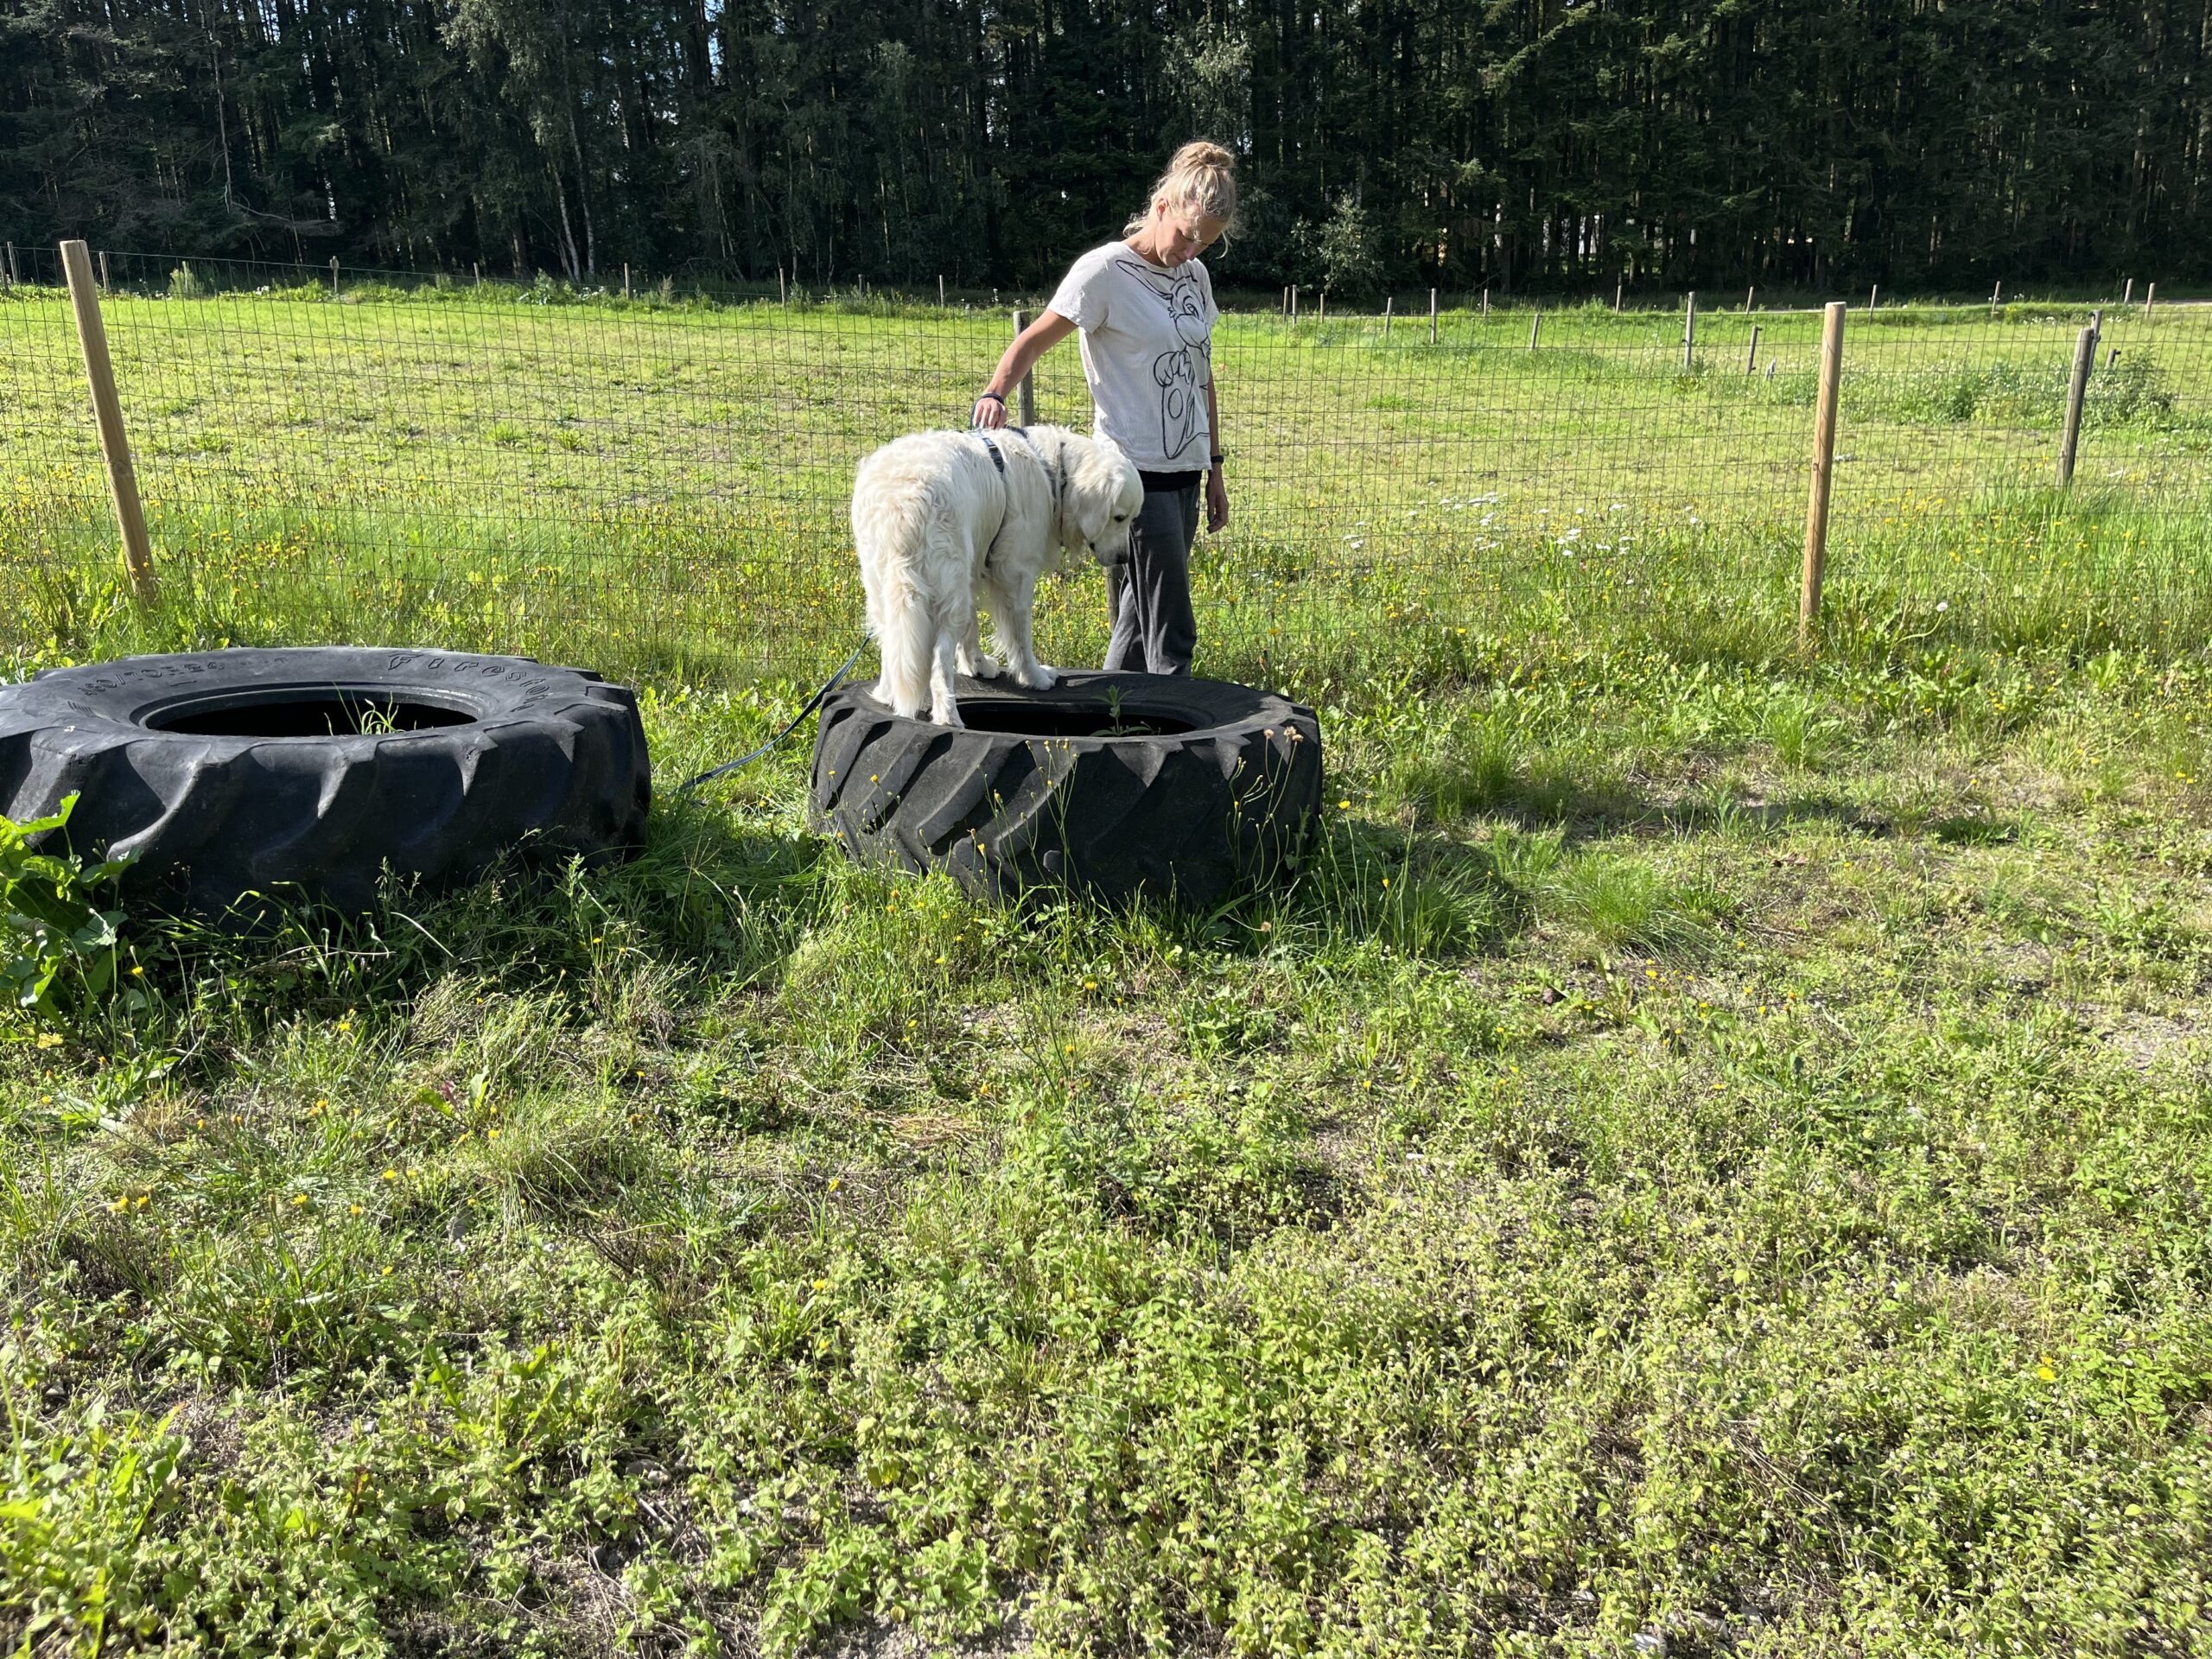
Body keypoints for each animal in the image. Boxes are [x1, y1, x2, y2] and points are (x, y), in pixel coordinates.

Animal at [849, 424, 1141, 725]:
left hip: (886, 585)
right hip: (948, 589)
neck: (1053, 473)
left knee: (892, 643)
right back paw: (948, 717)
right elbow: (1020, 636)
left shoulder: (974, 569)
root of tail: (902, 502)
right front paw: (1035, 677)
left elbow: (972, 629)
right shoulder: (1015, 573)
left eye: (1131, 518)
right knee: (939, 658)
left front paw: (977, 666)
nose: (1124, 558)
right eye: (1119, 517)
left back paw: (887, 693)